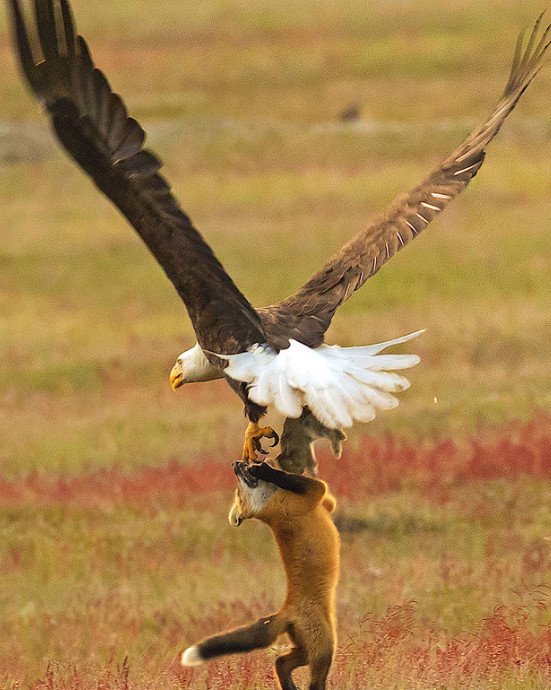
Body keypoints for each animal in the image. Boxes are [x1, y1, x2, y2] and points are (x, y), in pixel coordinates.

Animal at [180, 456, 340, 688]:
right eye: (239, 492)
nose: (235, 464)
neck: (269, 508)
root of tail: (286, 610)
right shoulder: (311, 494)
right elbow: (308, 483)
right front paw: (267, 470)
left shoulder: (323, 502)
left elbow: (328, 500)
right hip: (324, 650)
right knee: (312, 681)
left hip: (304, 651)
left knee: (280, 663)